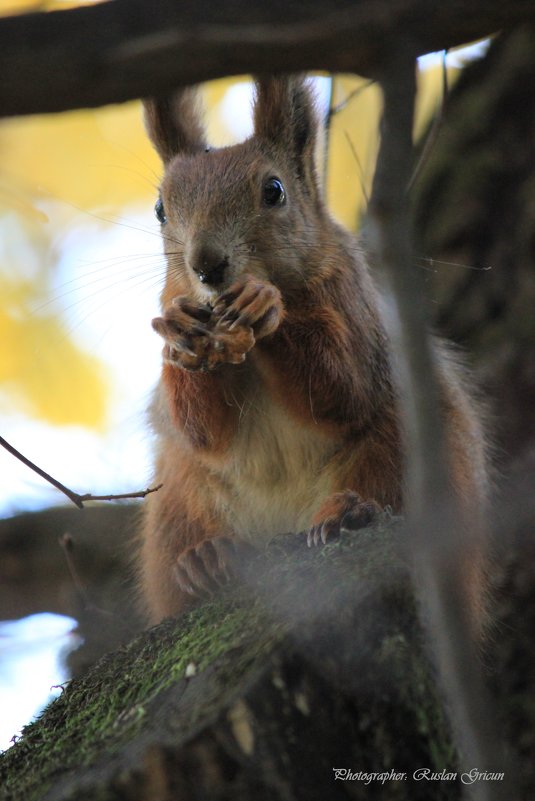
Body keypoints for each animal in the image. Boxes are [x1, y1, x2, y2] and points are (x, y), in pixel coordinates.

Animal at [138, 75, 490, 624]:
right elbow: (203, 432)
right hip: (179, 498)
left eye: (274, 191)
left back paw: (347, 513)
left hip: (404, 449)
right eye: (160, 209)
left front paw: (267, 308)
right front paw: (181, 334)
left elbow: (342, 389)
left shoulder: (354, 306)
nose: (206, 266)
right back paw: (207, 560)